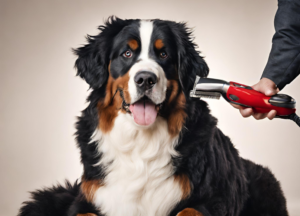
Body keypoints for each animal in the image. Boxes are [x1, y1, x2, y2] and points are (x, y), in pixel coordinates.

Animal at [18, 16, 288, 216]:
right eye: (127, 53)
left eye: (164, 54)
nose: (145, 79)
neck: (141, 140)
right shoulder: (87, 199)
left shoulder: (217, 199)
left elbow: (188, 211)